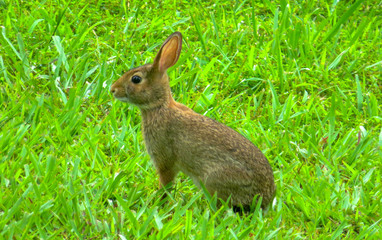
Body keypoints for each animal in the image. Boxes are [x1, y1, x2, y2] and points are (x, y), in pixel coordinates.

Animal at [110, 31, 274, 212]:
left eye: (136, 79)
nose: (113, 90)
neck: (159, 106)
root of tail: (265, 198)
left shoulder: (165, 162)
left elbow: (165, 184)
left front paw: (158, 204)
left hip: (214, 180)